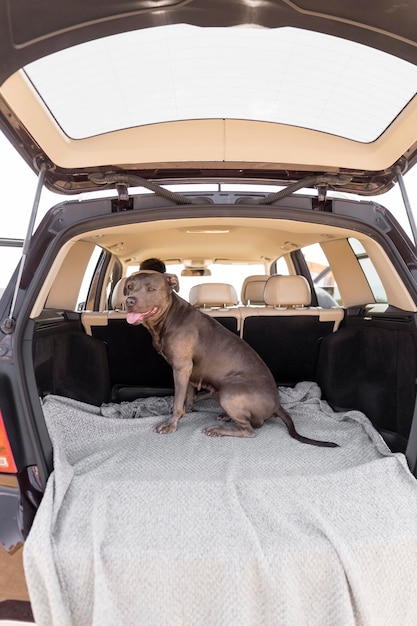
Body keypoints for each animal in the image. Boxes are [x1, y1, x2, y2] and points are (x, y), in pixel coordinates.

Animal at [122, 272, 334, 444]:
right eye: (130, 287)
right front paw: (188, 410)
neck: (168, 317)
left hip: (229, 392)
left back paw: (218, 430)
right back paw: (225, 417)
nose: (129, 300)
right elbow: (187, 396)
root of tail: (277, 405)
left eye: (151, 289)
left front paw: (171, 424)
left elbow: (177, 401)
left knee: (250, 430)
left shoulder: (181, 368)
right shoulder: (188, 370)